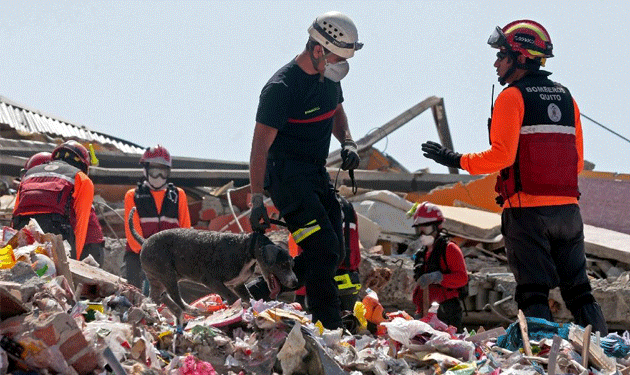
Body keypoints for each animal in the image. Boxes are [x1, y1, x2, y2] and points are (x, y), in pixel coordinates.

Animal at [127, 207, 300, 324]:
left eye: (292, 264)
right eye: (283, 265)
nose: (295, 282)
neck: (247, 247)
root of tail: (145, 241)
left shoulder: (238, 284)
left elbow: (247, 296)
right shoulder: (212, 280)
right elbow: (232, 297)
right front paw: (235, 308)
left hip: (157, 278)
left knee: (157, 297)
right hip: (167, 274)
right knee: (175, 297)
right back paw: (191, 310)